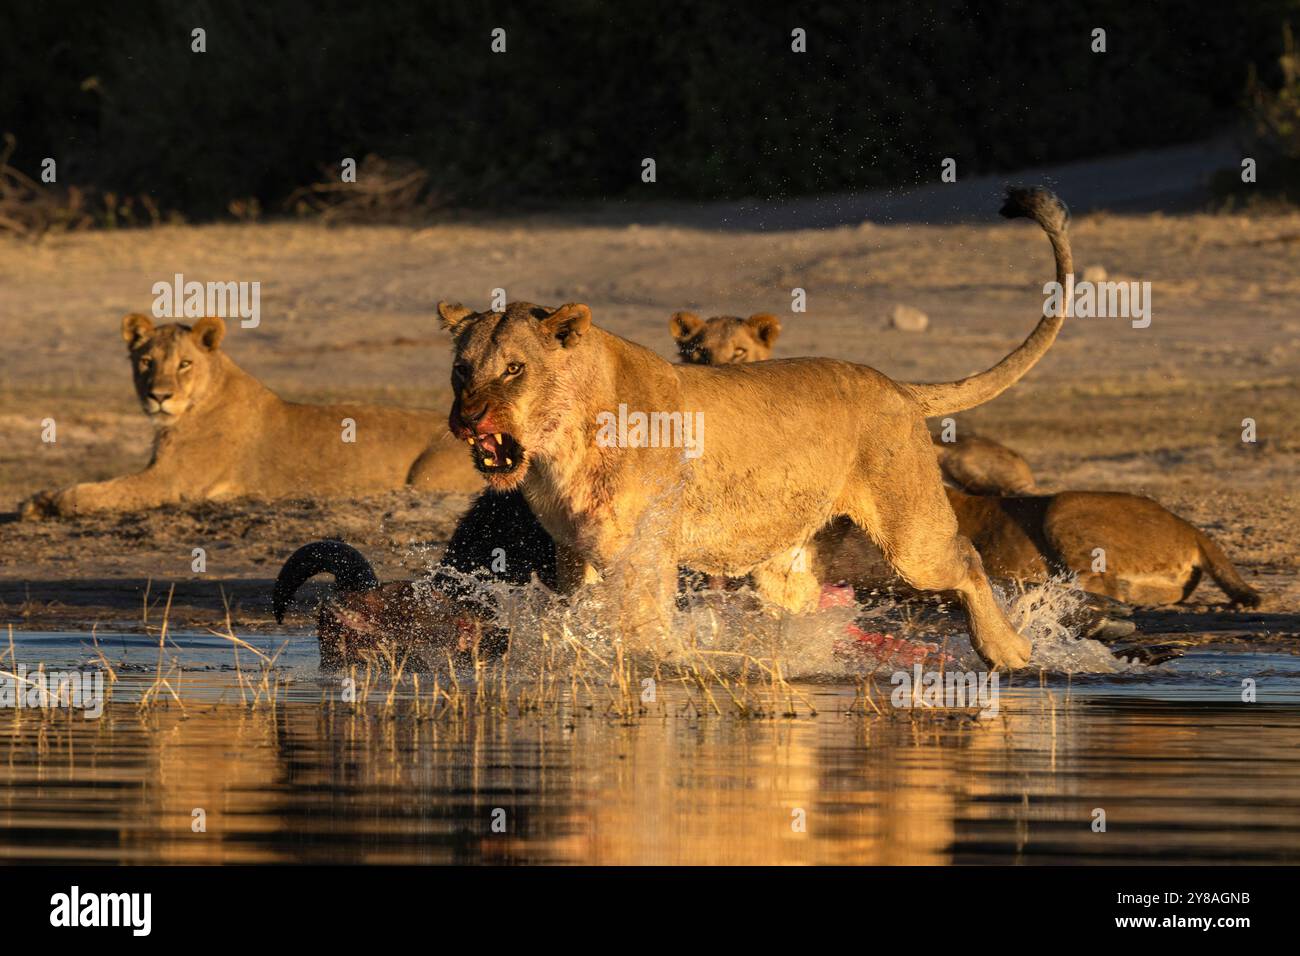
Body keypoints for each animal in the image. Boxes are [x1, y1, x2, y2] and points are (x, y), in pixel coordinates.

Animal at [21, 316, 483, 520]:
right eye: (146, 362)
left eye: (184, 363)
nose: (159, 396)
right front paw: (37, 498)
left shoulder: (170, 481)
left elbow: (98, 493)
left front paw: (51, 501)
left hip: (427, 477)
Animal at [436, 184, 1076, 665]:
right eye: (462, 369)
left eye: (515, 368)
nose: (467, 419)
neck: (561, 446)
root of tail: (894, 384)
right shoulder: (576, 554)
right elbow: (584, 615)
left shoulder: (644, 549)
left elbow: (641, 621)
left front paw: (656, 663)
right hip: (785, 559)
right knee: (803, 601)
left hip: (910, 534)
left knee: (966, 557)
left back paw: (1007, 650)